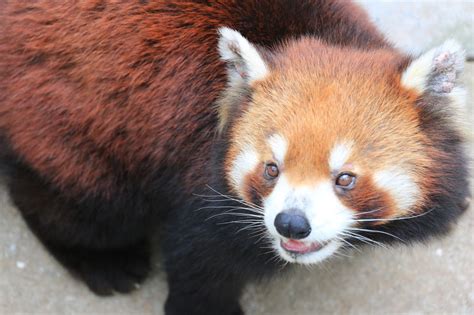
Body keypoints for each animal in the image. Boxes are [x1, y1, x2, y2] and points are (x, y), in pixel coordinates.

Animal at [0, 0, 468, 315]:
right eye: (271, 169)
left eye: (345, 178)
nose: (290, 223)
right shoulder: (196, 185)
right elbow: (200, 261)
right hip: (72, 119)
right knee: (84, 203)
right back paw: (103, 261)